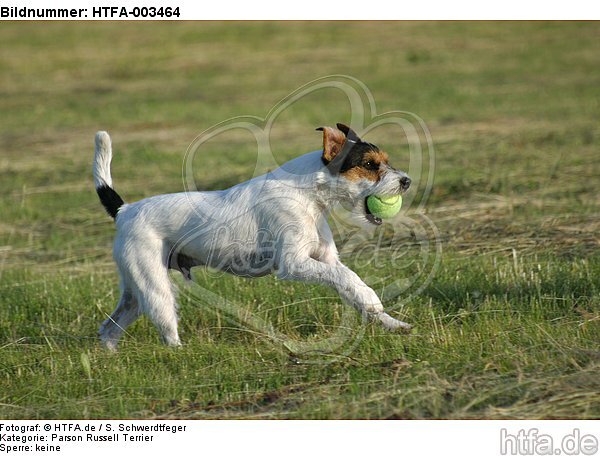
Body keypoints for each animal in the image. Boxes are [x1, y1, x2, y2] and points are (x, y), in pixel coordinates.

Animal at [95, 122, 412, 350]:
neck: (307, 195)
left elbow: (352, 282)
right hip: (156, 290)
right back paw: (181, 353)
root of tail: (125, 210)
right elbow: (346, 278)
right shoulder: (294, 264)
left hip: (135, 293)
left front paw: (390, 322)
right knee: (165, 331)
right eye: (369, 165)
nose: (406, 181)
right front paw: (375, 303)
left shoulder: (327, 260)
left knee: (108, 329)